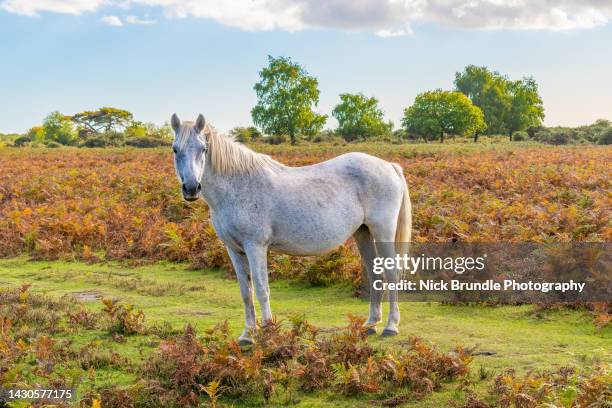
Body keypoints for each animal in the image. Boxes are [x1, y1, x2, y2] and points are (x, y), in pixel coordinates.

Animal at [172, 114, 412, 344]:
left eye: (203, 149)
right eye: (175, 149)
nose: (191, 188)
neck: (237, 186)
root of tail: (389, 166)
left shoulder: (255, 247)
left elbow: (261, 288)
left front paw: (268, 334)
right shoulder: (234, 249)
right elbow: (245, 292)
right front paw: (247, 335)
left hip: (382, 232)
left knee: (391, 273)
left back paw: (391, 326)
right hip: (363, 233)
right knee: (375, 273)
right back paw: (370, 324)